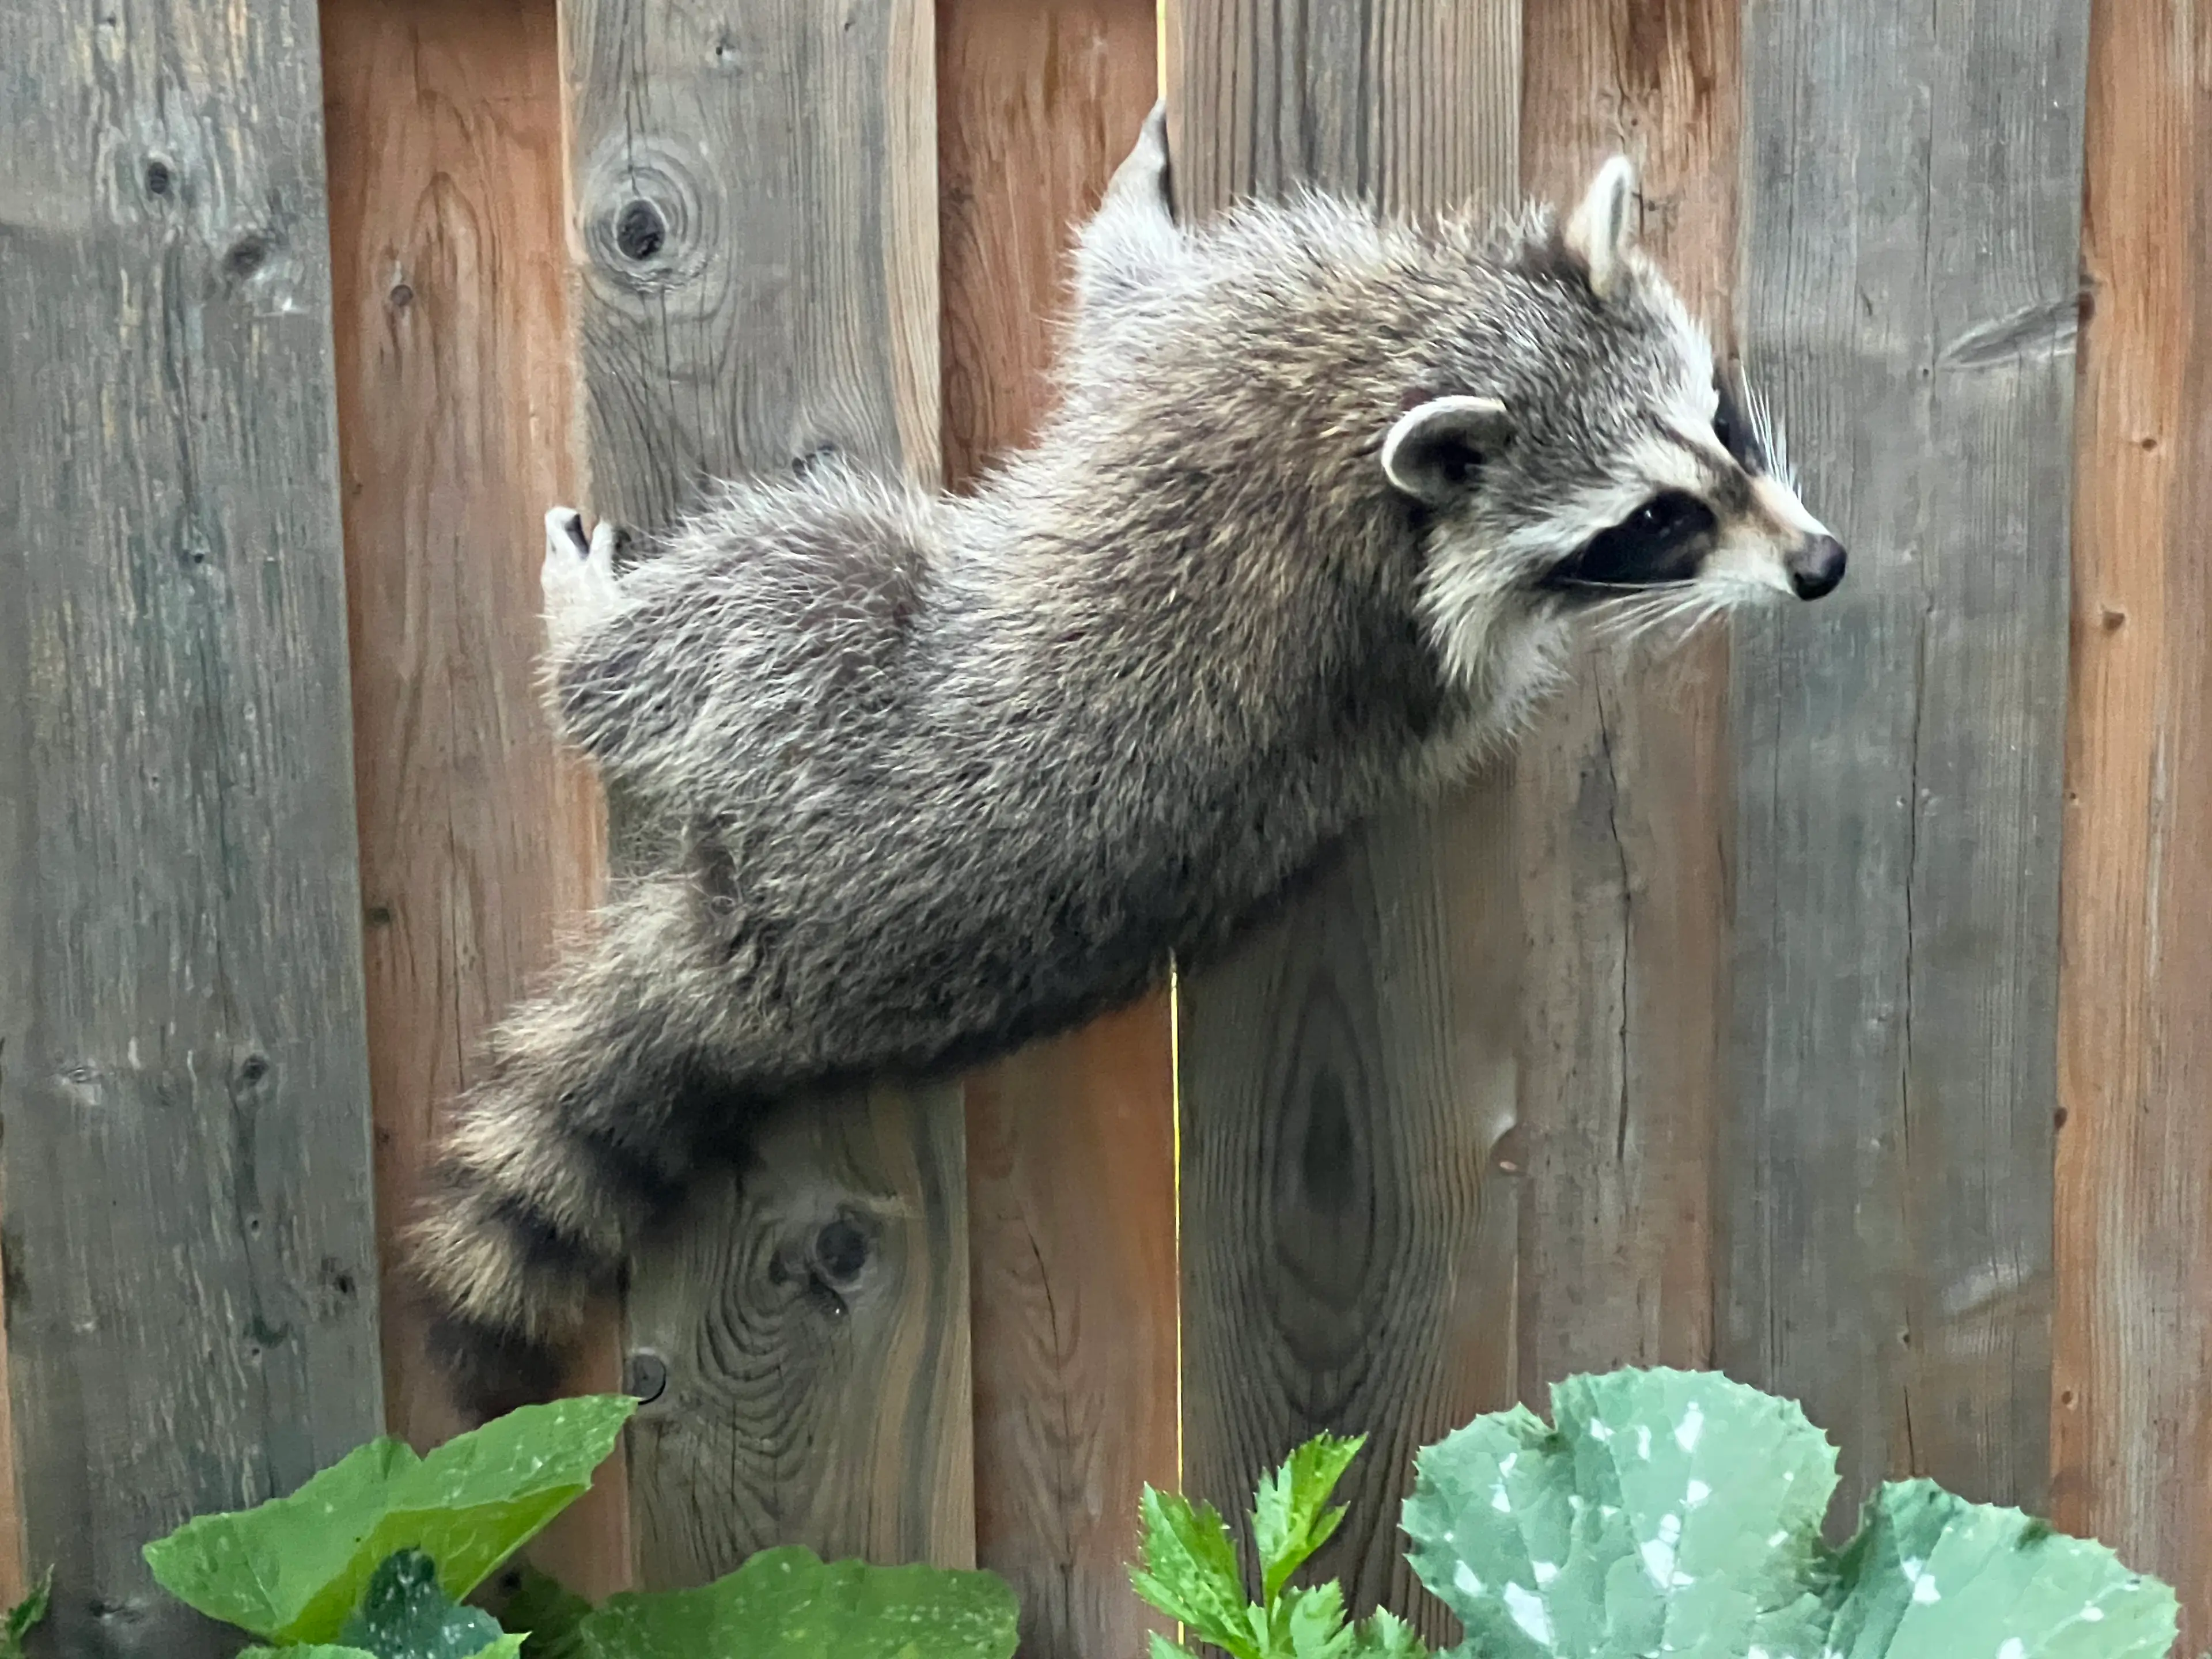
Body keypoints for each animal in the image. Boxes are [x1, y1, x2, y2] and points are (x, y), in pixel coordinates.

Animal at [411, 107, 1844, 1417]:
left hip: (813, 702)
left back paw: (588, 641)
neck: (1439, 340)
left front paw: (1129, 199)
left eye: (1722, 429)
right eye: (1658, 517)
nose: (1820, 565)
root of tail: (758, 981)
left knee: (773, 578)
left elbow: (1121, 297)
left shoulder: (1236, 328)